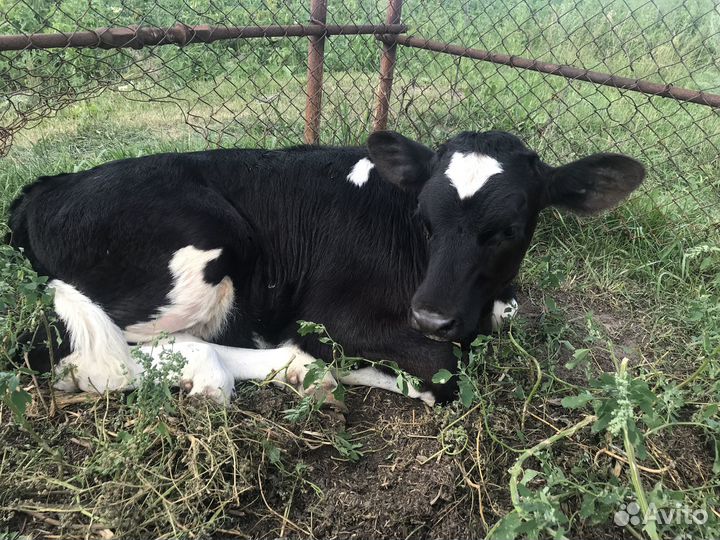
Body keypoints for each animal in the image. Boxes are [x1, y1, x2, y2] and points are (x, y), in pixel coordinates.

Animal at [8, 130, 644, 407]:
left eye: (509, 230)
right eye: (424, 217)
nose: (431, 316)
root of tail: (43, 188)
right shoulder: (335, 314)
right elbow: (439, 372)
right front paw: (341, 364)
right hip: (201, 248)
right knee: (66, 352)